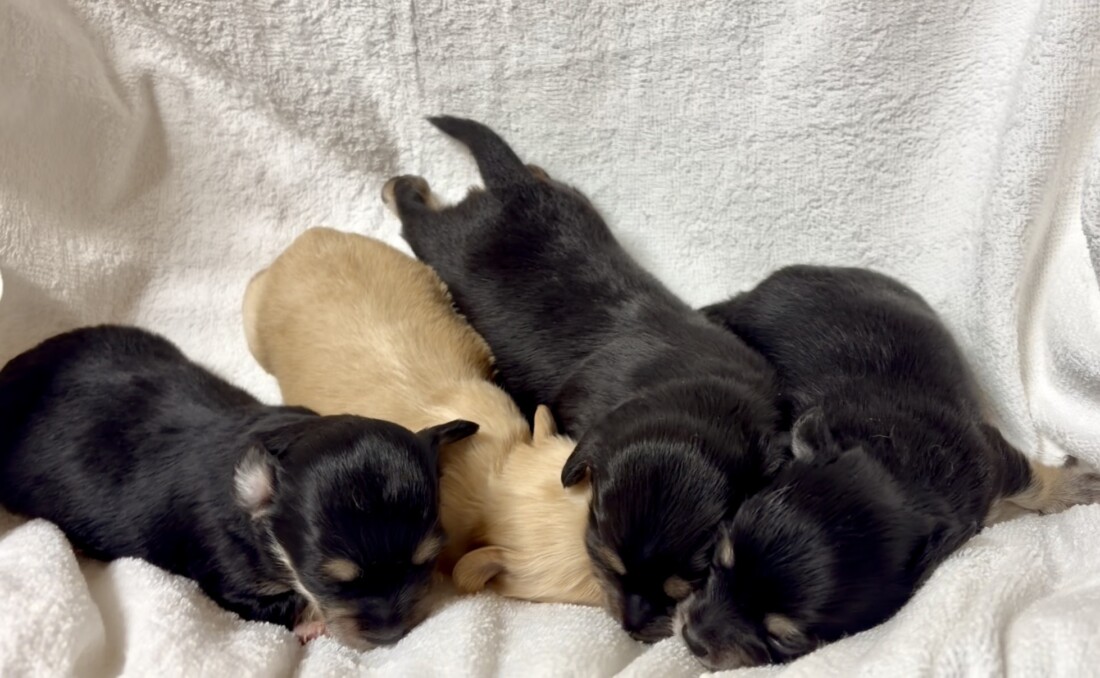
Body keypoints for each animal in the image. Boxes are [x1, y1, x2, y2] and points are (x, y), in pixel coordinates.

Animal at [0, 325, 476, 649]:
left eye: (427, 562)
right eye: (328, 580)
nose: (392, 635)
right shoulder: (230, 581)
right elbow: (283, 604)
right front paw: (315, 622)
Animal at [382, 117, 782, 641]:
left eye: (689, 583)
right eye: (607, 563)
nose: (632, 629)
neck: (701, 397)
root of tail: (513, 187)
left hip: (568, 206)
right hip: (445, 244)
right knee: (415, 216)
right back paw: (398, 187)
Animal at [677, 265, 1100, 670]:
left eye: (785, 640)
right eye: (718, 560)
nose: (692, 640)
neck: (898, 464)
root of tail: (752, 293)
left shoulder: (989, 459)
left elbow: (1033, 481)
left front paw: (1077, 487)